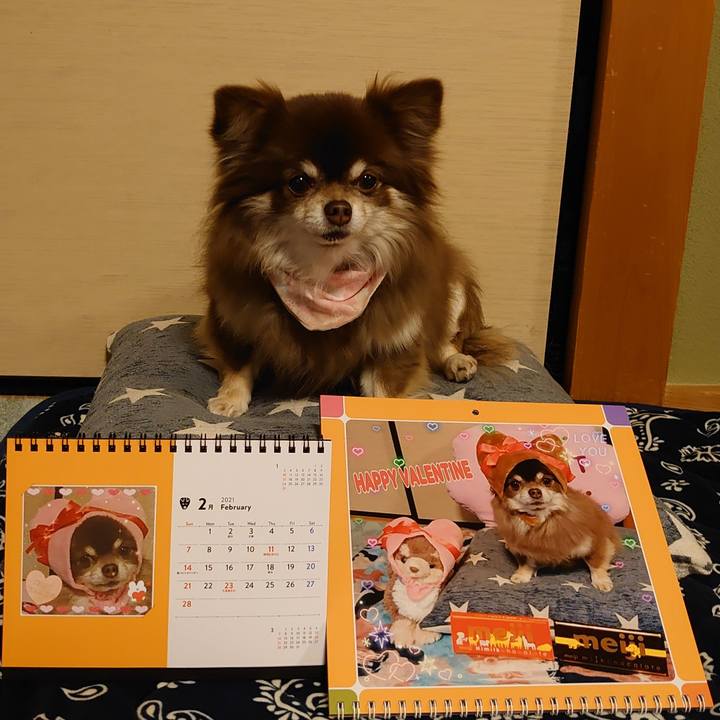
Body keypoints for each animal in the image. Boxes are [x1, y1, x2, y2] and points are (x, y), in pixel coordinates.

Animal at [198, 77, 510, 416]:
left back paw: (458, 361)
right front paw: (229, 399)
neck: (325, 272)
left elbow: (386, 386)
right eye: (298, 182)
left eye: (368, 180)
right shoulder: (235, 317)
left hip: (453, 288)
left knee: (441, 337)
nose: (339, 208)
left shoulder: (394, 338)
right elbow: (238, 363)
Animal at [492, 458, 619, 592]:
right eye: (515, 484)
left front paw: (601, 581)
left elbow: (596, 563)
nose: (535, 491)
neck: (541, 518)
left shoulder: (595, 541)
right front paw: (522, 574)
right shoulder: (522, 547)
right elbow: (525, 561)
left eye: (546, 481)